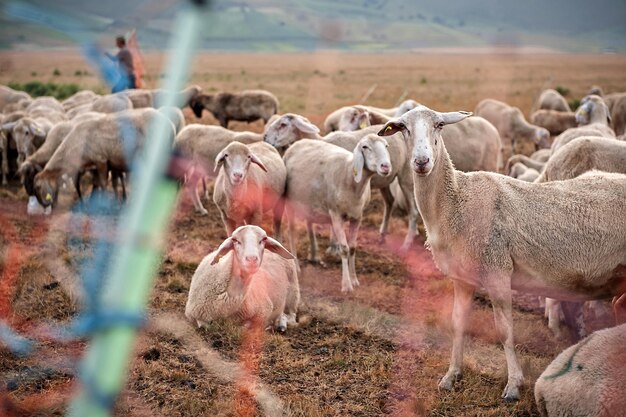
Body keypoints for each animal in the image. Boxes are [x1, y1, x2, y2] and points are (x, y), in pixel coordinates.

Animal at [34, 108, 173, 207]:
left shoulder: (101, 159)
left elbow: (103, 183)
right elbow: (99, 183)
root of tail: (170, 125)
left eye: (38, 187)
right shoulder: (96, 164)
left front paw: (105, 204)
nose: (44, 205)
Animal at [282, 135, 390, 290]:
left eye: (386, 146)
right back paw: (296, 267)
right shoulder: (336, 215)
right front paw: (346, 285)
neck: (350, 177)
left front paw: (354, 280)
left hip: (309, 203)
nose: (385, 166)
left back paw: (314, 257)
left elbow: (352, 248)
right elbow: (344, 248)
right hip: (289, 204)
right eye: (365, 147)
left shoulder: (358, 216)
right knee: (292, 234)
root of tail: (296, 143)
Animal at [376, 104, 624, 400]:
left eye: (439, 125)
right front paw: (451, 375)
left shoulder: (497, 271)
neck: (457, 200)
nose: (422, 161)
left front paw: (514, 385)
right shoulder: (462, 277)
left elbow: (505, 331)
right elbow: (458, 323)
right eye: (403, 127)